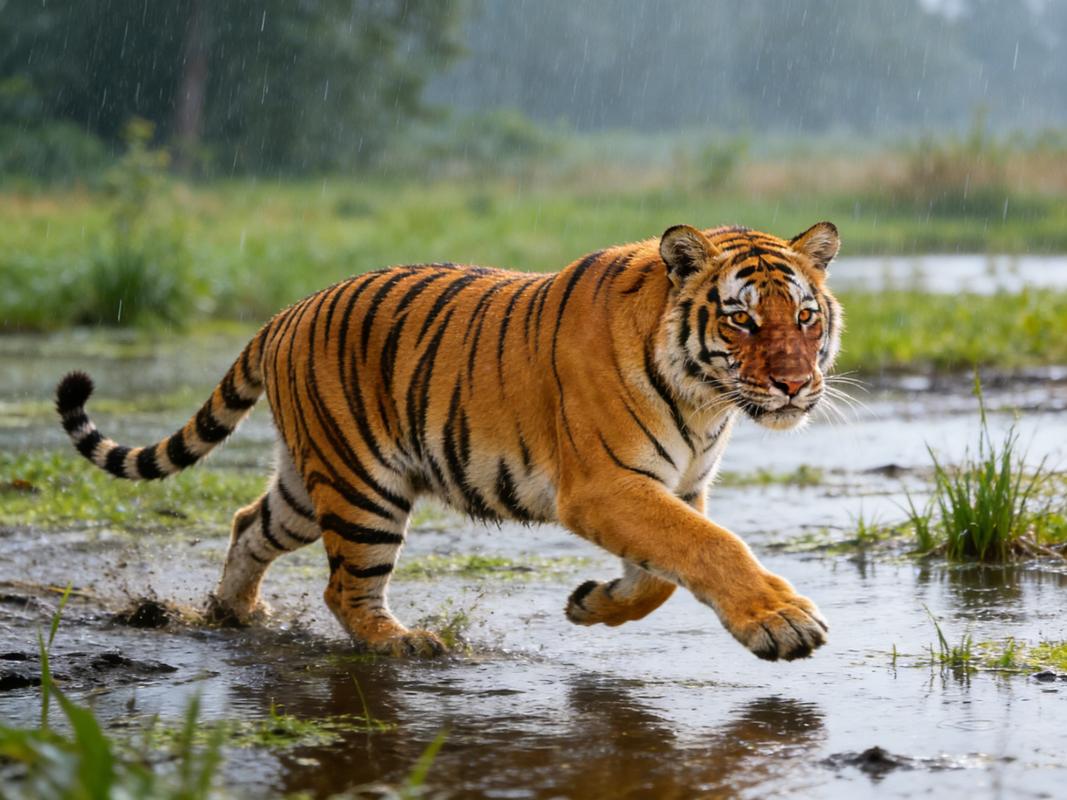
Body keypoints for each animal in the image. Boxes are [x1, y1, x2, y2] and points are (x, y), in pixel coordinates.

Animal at [55, 221, 842, 661]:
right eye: (742, 320)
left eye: (805, 316)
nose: (795, 385)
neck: (706, 401)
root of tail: (285, 311)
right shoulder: (604, 486)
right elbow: (710, 547)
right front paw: (783, 624)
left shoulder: (678, 486)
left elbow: (662, 573)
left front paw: (591, 603)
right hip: (363, 488)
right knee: (345, 588)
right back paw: (404, 644)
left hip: (309, 486)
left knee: (250, 522)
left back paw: (233, 613)